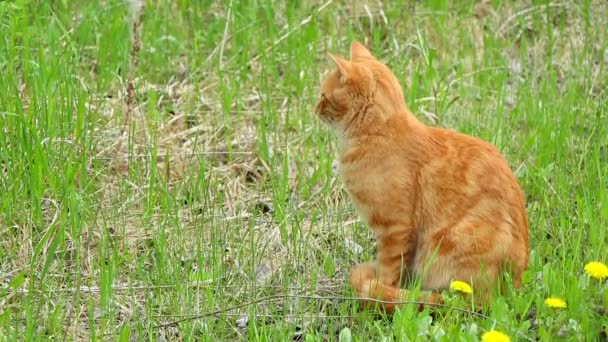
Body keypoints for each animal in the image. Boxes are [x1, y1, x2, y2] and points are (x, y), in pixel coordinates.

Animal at [316, 41, 528, 312]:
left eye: (324, 96)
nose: (315, 109)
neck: (378, 133)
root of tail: (512, 291)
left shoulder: (395, 228)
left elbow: (388, 271)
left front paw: (381, 290)